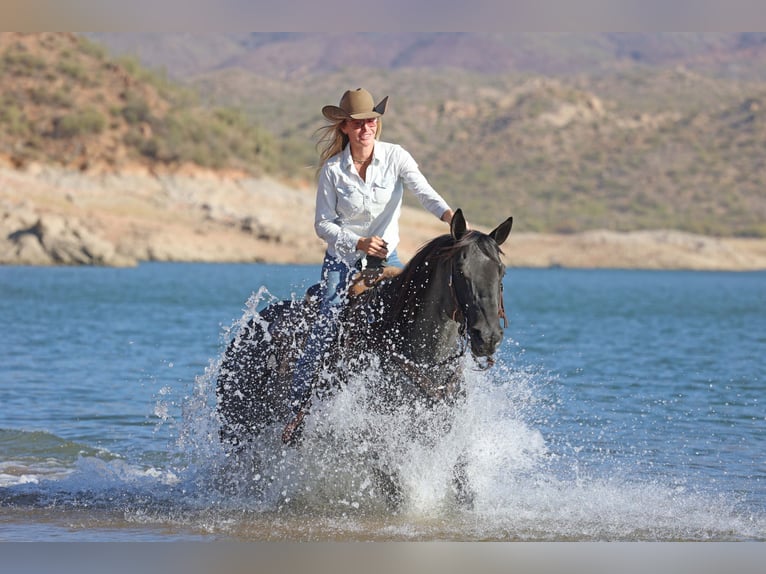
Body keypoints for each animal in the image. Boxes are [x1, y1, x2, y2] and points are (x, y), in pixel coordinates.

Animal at [218, 209, 516, 510]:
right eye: (461, 270)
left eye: (501, 271)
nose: (488, 336)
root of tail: (248, 329)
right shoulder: (369, 435)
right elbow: (393, 485)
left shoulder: (443, 428)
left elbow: (462, 482)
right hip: (238, 428)